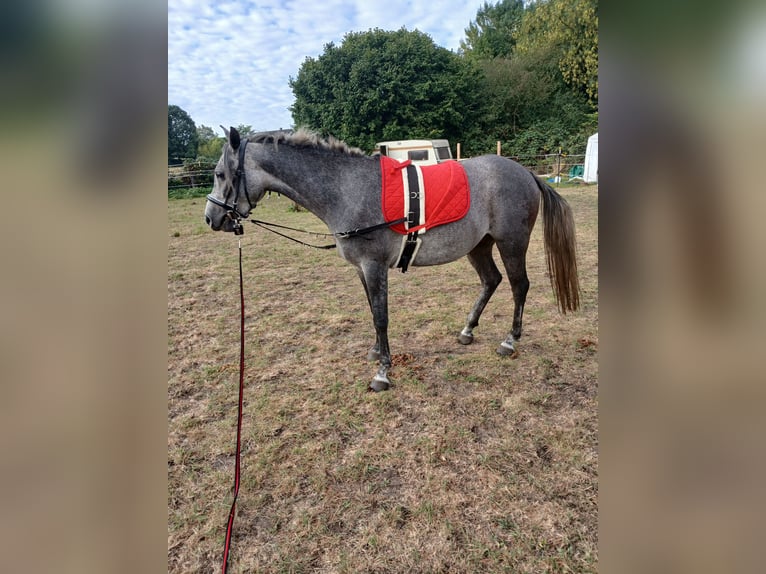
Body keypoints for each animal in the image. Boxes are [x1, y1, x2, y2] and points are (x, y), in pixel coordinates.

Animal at [205, 127, 579, 391]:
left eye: (221, 174)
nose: (211, 218)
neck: (348, 189)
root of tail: (525, 173)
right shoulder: (362, 269)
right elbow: (373, 312)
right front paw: (376, 352)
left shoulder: (374, 266)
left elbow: (382, 317)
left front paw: (382, 372)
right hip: (480, 246)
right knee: (492, 281)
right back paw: (468, 330)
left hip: (511, 243)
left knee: (519, 286)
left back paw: (509, 341)